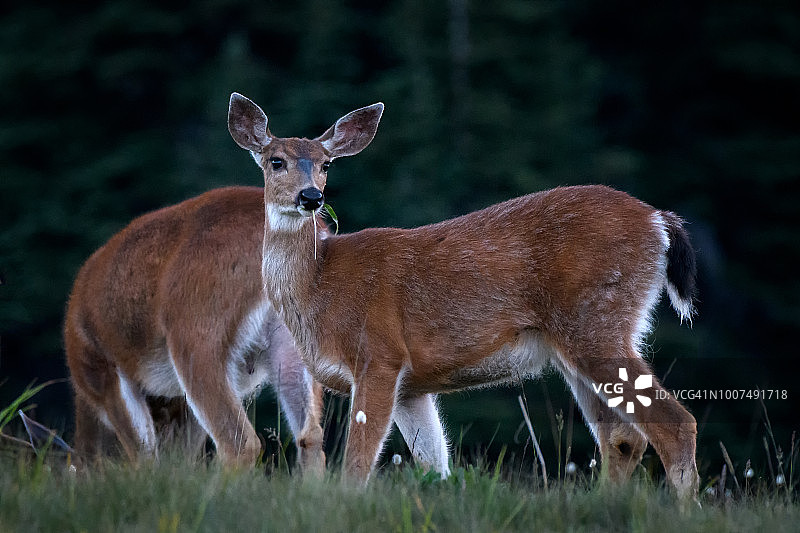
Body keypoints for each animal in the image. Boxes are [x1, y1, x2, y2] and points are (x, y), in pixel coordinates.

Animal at [64, 186, 325, 474]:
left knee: (239, 442)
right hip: (291, 344)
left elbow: (145, 457)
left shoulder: (107, 373)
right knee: (311, 435)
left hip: (196, 337)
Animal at [227, 93, 700, 499]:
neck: (320, 287)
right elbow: (434, 463)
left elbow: (358, 463)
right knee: (621, 436)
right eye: (276, 161)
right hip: (581, 339)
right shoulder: (411, 385)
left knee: (676, 425)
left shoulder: (378, 353)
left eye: (326, 164)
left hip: (597, 320)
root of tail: (660, 221)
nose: (311, 196)